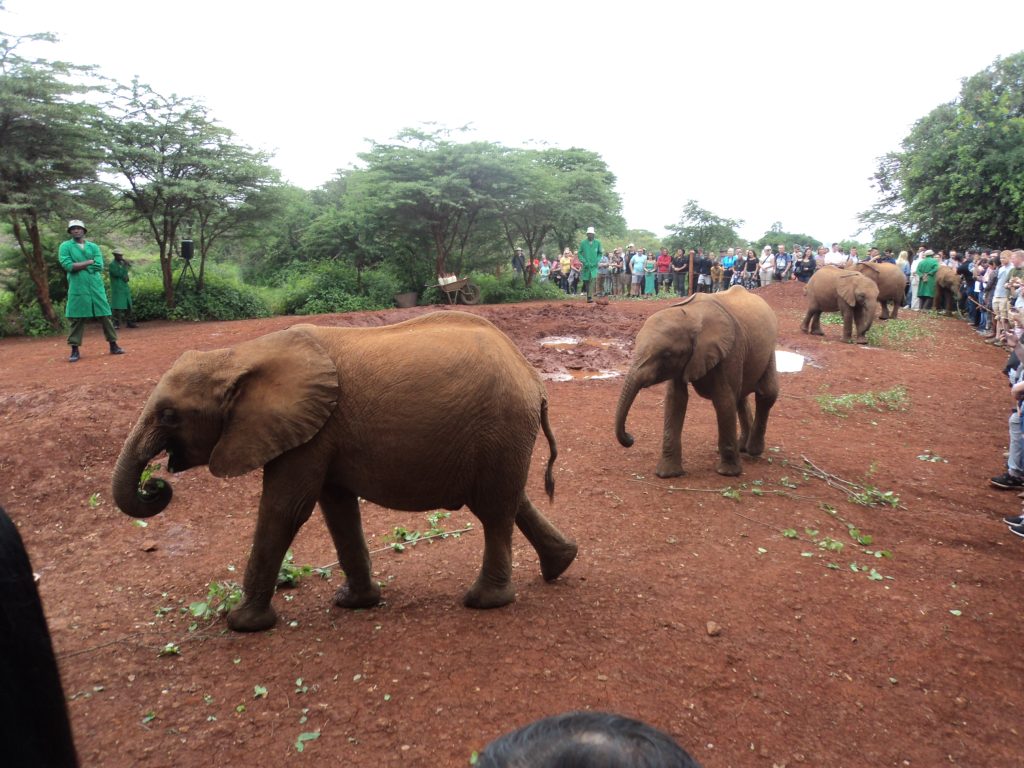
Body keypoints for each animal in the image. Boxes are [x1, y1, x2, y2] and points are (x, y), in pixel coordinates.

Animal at [113, 311, 581, 630]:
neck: (237, 355)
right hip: (502, 437)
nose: (156, 485)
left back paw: (485, 601)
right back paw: (560, 565)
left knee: (494, 510)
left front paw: (242, 624)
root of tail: (533, 378)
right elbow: (336, 508)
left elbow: (285, 509)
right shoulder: (318, 432)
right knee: (510, 500)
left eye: (169, 415)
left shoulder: (310, 431)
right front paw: (355, 602)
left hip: (500, 426)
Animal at [614, 286, 774, 479]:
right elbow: (676, 399)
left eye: (666, 355)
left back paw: (753, 450)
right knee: (741, 397)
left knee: (766, 394)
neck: (692, 315)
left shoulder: (730, 351)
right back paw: (742, 447)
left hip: (769, 350)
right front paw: (667, 474)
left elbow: (723, 400)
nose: (630, 438)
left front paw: (728, 473)